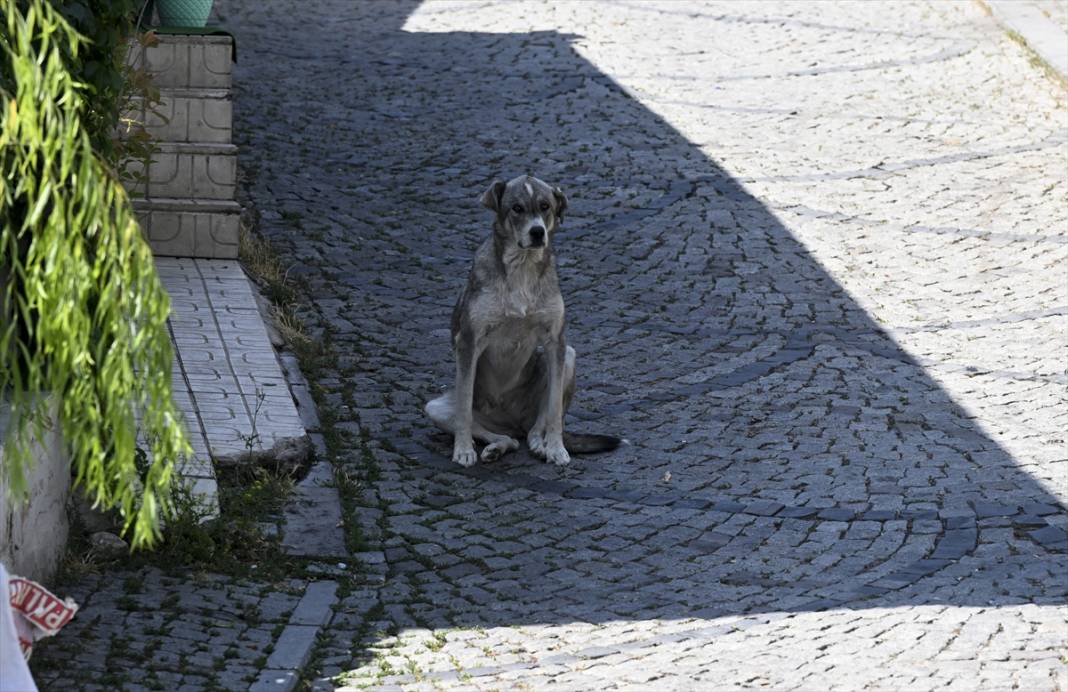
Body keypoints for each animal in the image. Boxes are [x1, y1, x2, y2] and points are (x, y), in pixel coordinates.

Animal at [425, 173, 623, 467]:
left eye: (545, 206)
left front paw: (556, 448)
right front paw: (462, 450)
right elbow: (464, 410)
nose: (537, 232)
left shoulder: (556, 342)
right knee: (504, 437)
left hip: (568, 358)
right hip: (437, 408)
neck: (522, 268)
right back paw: (494, 448)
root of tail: (511, 421)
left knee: (533, 431)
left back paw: (541, 446)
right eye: (516, 208)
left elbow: (554, 413)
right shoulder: (468, 342)